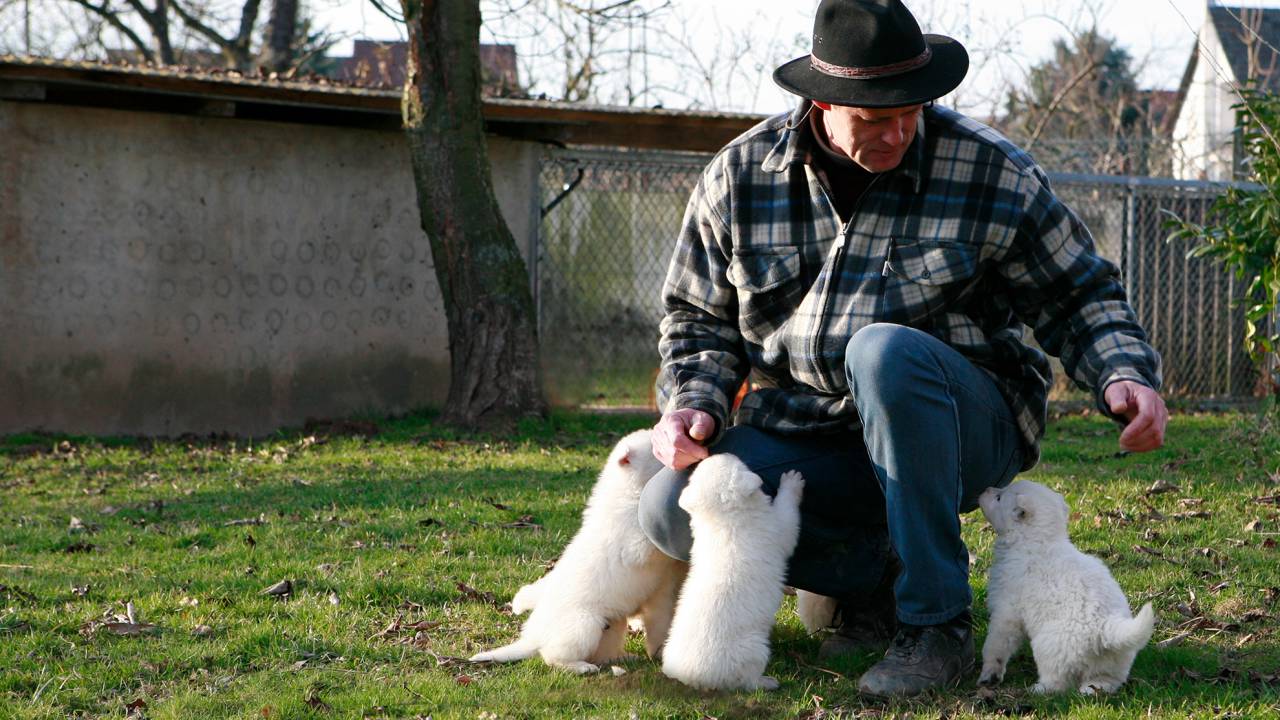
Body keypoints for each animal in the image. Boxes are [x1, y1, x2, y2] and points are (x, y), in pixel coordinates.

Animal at [471, 427, 691, 671]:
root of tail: (533, 637)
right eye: (657, 448)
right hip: (584, 624)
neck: (630, 491)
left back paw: (622, 658)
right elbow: (645, 544)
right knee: (552, 655)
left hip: (613, 624)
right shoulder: (634, 543)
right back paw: (580, 667)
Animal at [660, 453, 798, 691]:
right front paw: (792, 480)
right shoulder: (774, 529)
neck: (723, 521)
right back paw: (767, 682)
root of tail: (692, 677)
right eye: (739, 464)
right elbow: (788, 518)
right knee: (747, 678)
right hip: (752, 647)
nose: (721, 452)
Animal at [972, 479, 1157, 691]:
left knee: (1057, 682)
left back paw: (1038, 690)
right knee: (1105, 680)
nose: (985, 489)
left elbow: (995, 644)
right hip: (1113, 662)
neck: (1036, 539)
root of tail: (1105, 627)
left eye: (999, 498)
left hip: (1051, 647)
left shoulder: (1006, 611)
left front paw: (988, 674)